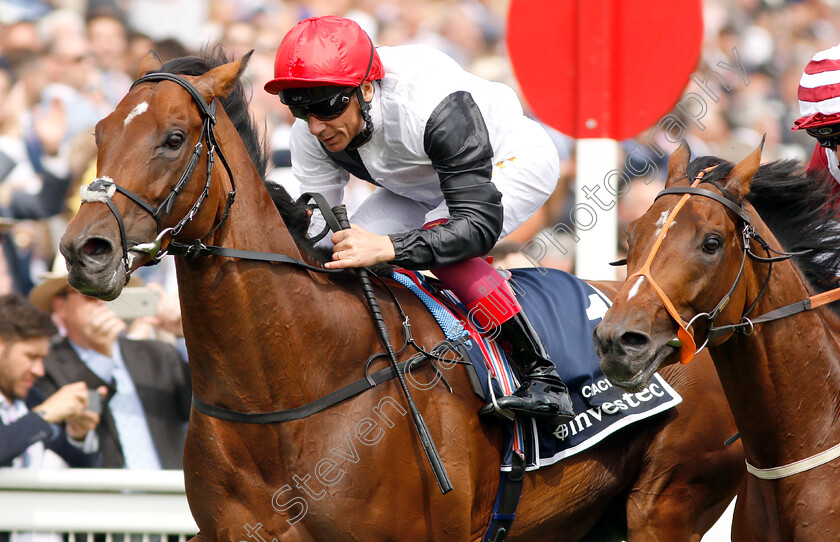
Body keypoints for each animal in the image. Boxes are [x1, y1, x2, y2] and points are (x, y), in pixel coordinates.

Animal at [60, 49, 740, 540]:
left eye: (174, 137)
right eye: (99, 132)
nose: (84, 249)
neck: (288, 385)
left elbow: (471, 221)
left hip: (666, 506)